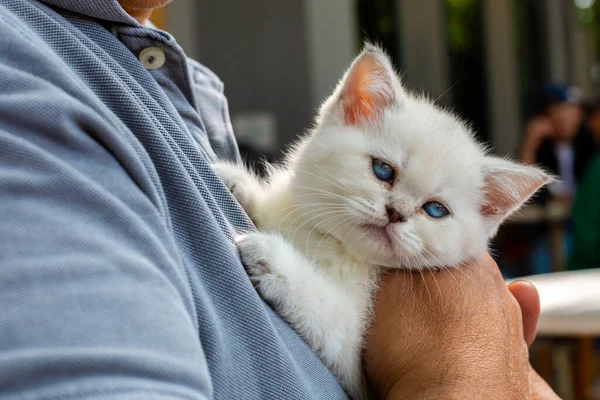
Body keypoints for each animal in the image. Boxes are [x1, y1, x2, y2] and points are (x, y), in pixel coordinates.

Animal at [213, 44, 552, 400]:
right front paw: (236, 184)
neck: (334, 244)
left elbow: (325, 310)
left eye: (435, 210)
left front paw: (270, 256)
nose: (396, 213)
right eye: (383, 170)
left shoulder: (354, 366)